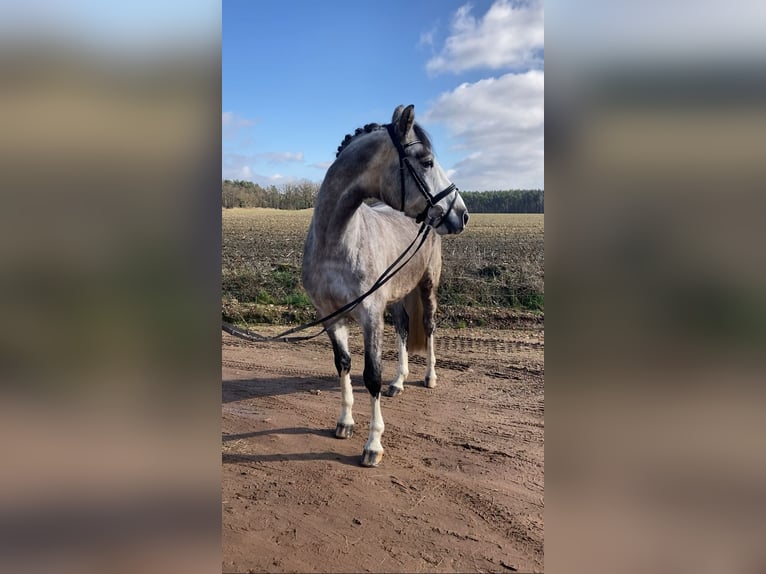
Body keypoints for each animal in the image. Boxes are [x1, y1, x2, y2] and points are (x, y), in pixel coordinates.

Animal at [302, 106, 468, 468]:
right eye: (427, 161)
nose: (462, 214)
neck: (337, 241)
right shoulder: (331, 316)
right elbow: (344, 364)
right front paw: (345, 423)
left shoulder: (370, 315)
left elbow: (371, 375)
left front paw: (373, 445)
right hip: (397, 296)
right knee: (404, 329)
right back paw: (399, 381)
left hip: (426, 288)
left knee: (428, 327)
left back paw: (429, 377)